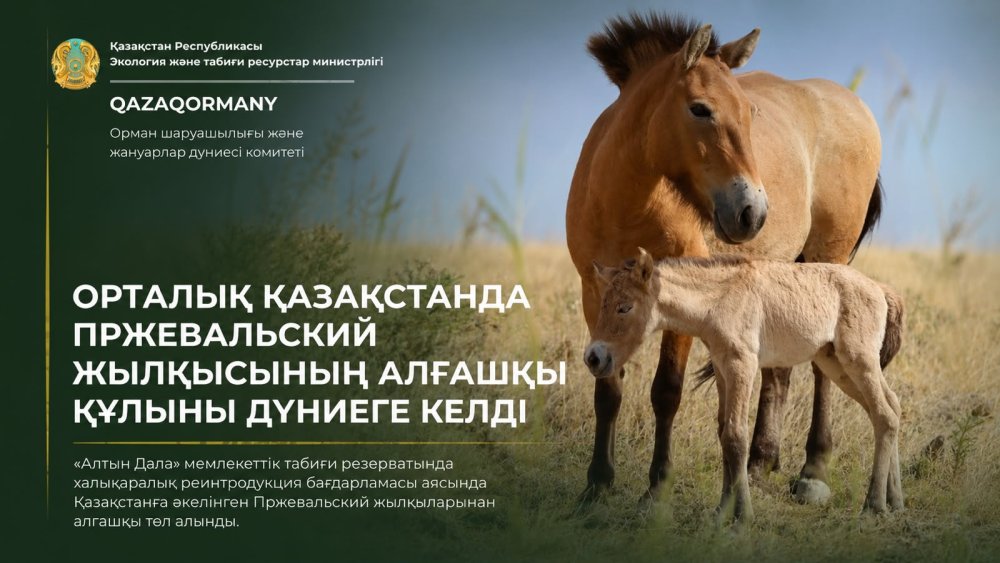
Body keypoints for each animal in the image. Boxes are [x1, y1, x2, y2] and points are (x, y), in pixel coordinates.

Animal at [566, 13, 883, 505]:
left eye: (750, 113)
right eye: (701, 109)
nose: (752, 212)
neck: (624, 205)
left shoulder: (675, 301)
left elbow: (666, 391)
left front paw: (656, 490)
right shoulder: (593, 292)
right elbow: (608, 389)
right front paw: (597, 485)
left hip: (830, 262)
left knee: (821, 368)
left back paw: (813, 471)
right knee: (779, 371)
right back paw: (760, 461)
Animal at [584, 249, 905, 522]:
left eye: (625, 307)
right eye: (602, 304)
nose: (594, 358)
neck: (719, 299)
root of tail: (881, 290)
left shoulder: (743, 365)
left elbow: (736, 436)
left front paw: (742, 517)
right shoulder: (723, 369)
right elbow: (723, 432)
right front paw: (721, 512)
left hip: (858, 361)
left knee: (884, 414)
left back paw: (873, 506)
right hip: (837, 366)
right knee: (890, 408)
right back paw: (894, 501)